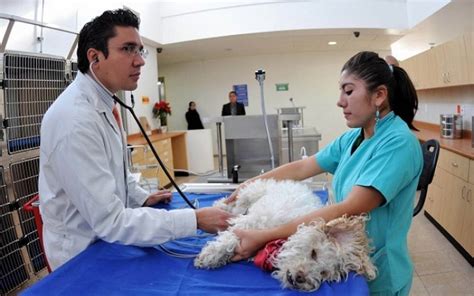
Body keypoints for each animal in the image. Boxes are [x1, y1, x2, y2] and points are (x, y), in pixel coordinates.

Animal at [194, 178, 376, 292]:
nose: (301, 278)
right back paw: (220, 206)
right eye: (314, 253)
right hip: (250, 195)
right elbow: (230, 238)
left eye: (323, 273)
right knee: (234, 207)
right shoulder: (254, 221)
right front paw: (211, 255)